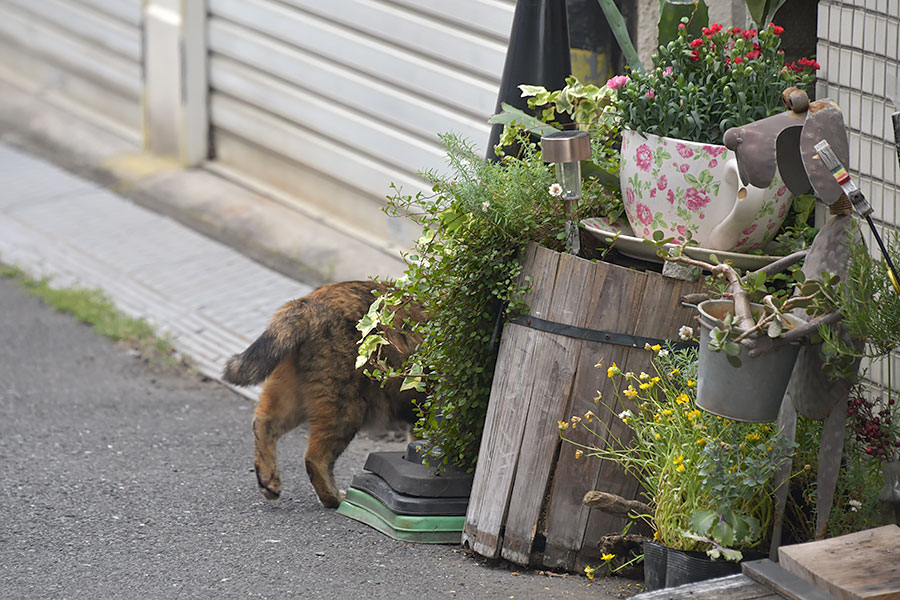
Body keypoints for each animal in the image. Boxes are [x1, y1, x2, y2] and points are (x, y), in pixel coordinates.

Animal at [223, 282, 424, 506]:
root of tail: (308, 302)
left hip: (293, 394)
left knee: (263, 421)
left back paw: (269, 482)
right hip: (345, 405)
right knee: (315, 457)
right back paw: (334, 498)